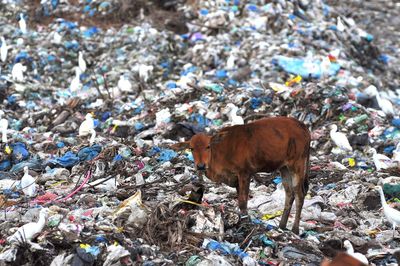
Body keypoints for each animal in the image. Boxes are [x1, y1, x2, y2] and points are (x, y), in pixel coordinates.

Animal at [171, 117, 310, 234]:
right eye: (191, 148)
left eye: (208, 146)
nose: (200, 166)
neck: (220, 152)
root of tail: (301, 124)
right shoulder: (236, 179)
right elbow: (241, 202)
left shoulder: (244, 173)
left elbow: (243, 202)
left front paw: (245, 223)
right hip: (284, 167)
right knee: (289, 193)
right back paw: (282, 225)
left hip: (297, 164)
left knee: (299, 194)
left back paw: (295, 229)